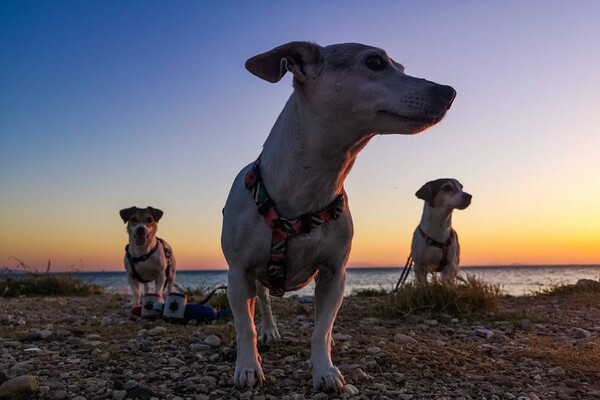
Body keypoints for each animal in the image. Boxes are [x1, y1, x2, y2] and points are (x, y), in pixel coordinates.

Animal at [220, 40, 454, 390]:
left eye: (400, 67)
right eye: (375, 62)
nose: (449, 91)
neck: (309, 186)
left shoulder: (334, 276)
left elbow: (322, 331)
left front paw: (324, 371)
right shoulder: (237, 273)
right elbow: (244, 327)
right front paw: (248, 367)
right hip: (252, 279)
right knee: (261, 301)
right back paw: (269, 331)